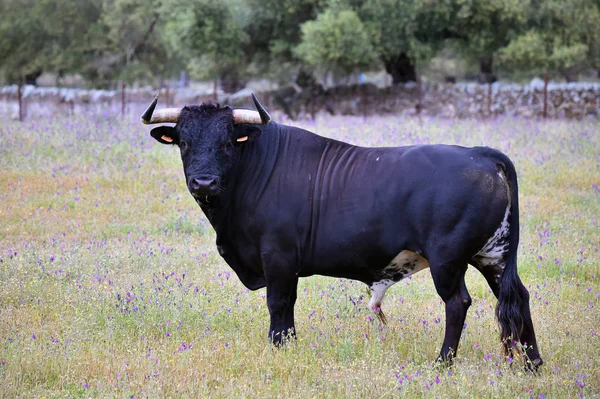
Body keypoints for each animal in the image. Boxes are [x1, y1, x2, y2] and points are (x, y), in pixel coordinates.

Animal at [142, 97, 544, 368]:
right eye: (184, 142)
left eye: (227, 142)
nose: (203, 182)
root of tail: (480, 154)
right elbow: (286, 308)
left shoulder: (278, 257)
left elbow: (278, 304)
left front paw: (279, 348)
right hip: (494, 256)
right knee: (517, 298)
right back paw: (532, 365)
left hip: (448, 259)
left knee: (457, 303)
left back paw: (443, 362)